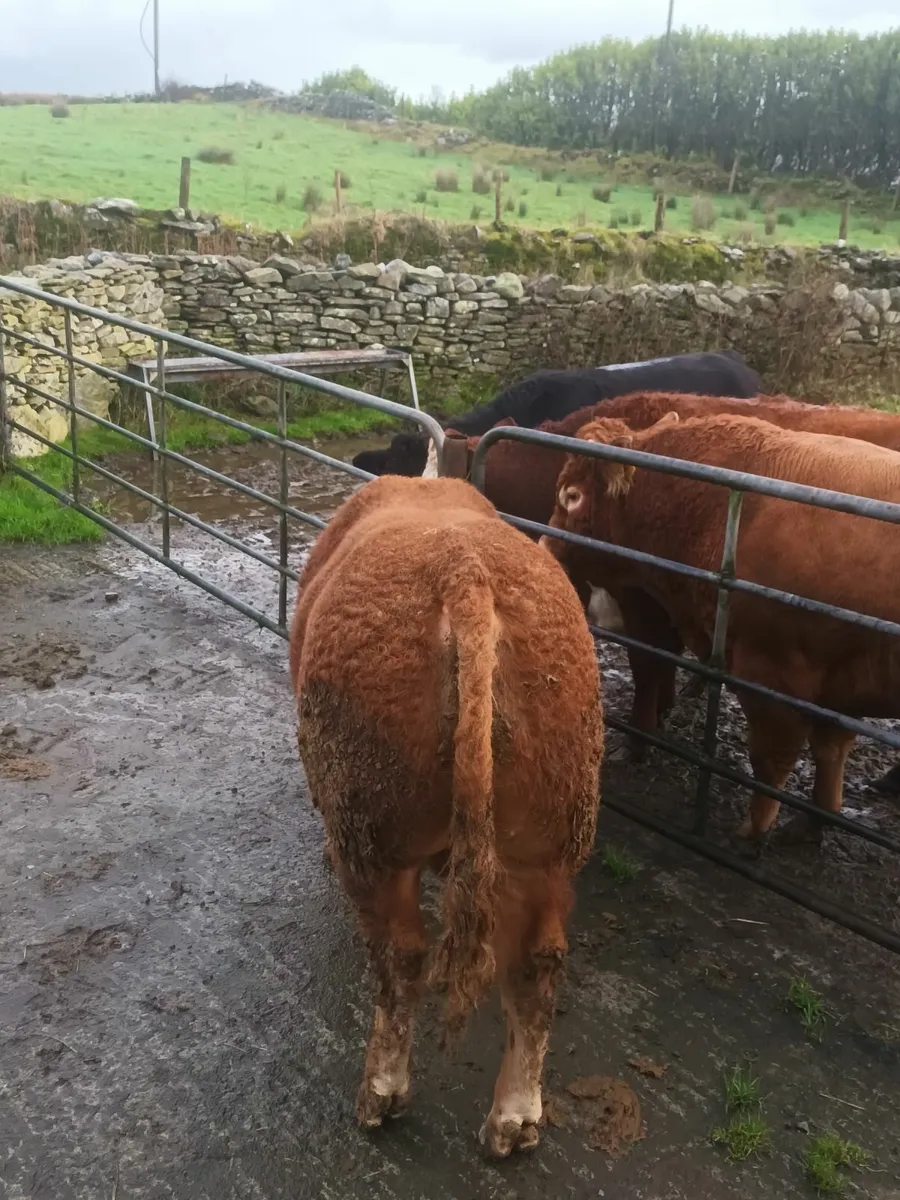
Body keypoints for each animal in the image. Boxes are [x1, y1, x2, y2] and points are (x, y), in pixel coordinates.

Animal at [289, 475, 603, 1155]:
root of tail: (465, 572)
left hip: (374, 829)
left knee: (401, 957)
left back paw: (381, 1093)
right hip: (549, 838)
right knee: (538, 963)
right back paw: (514, 1117)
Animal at [539, 412, 900, 842]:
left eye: (571, 495)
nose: (542, 546)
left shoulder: (770, 674)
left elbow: (772, 758)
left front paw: (753, 829)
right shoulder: (838, 689)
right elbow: (831, 750)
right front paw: (816, 819)